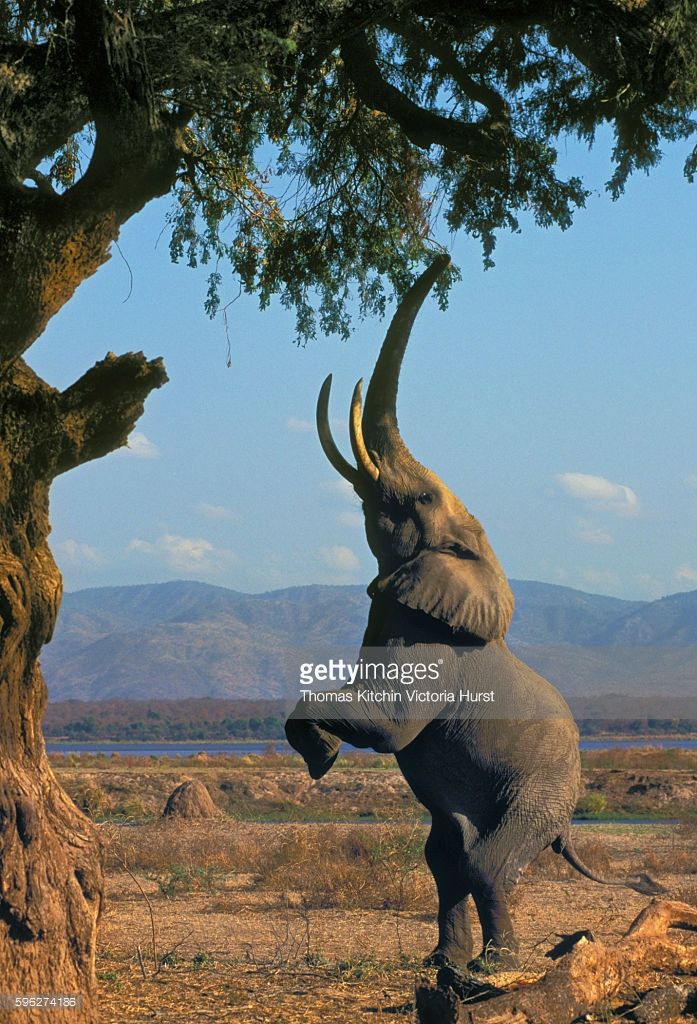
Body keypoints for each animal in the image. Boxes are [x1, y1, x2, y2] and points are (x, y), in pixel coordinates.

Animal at [282, 251, 659, 970]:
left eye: (424, 498)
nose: (444, 256)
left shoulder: (438, 650)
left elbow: (392, 731)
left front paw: (321, 755)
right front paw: (319, 758)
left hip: (543, 787)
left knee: (485, 860)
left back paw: (496, 966)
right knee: (446, 854)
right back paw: (445, 965)